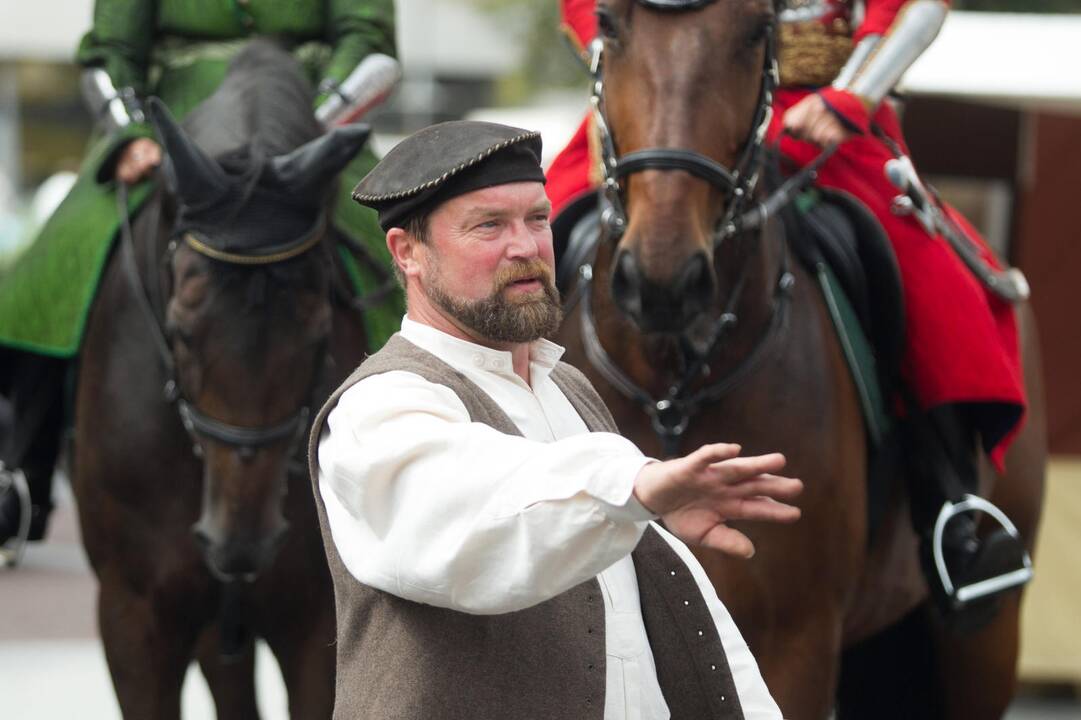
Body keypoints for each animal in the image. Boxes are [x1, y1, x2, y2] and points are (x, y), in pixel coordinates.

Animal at [557, 2, 1046, 713]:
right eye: (609, 23)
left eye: (756, 31)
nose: (663, 282)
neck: (672, 385)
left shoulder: (797, 645)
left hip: (981, 646)